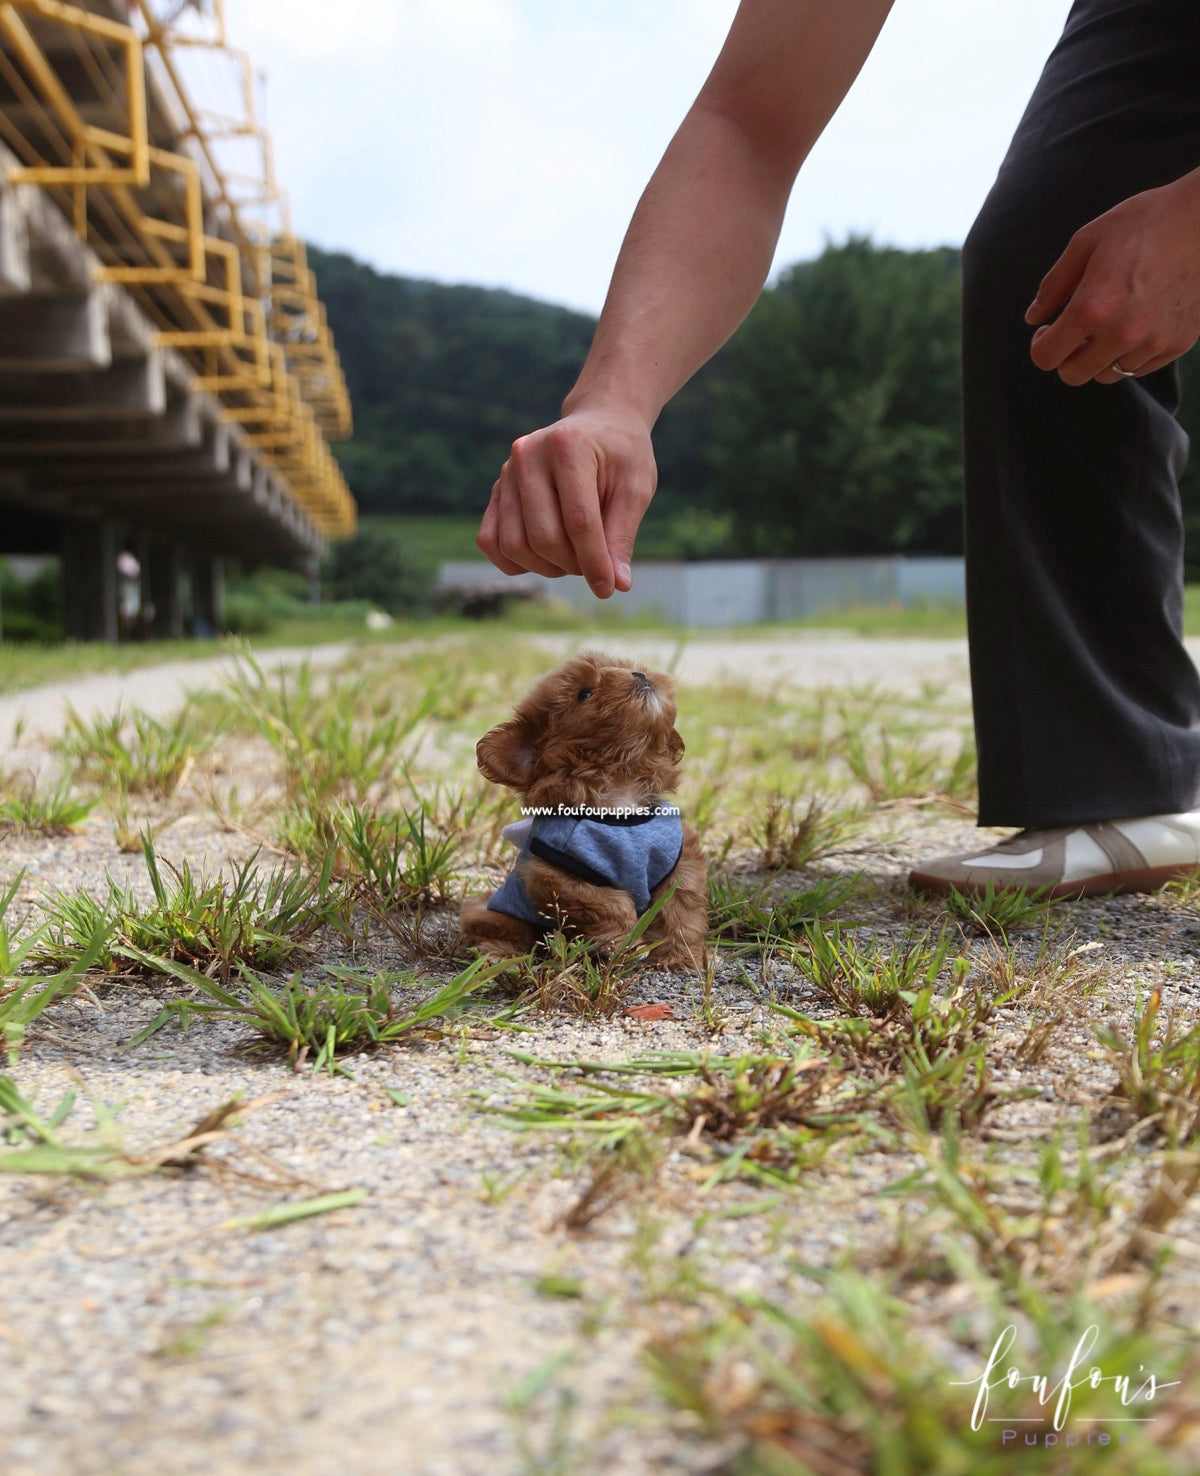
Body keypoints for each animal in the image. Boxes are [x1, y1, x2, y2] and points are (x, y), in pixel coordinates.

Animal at [457, 652, 702, 974]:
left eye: (628, 668)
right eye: (584, 693)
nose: (639, 674)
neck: (620, 795)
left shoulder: (680, 863)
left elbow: (680, 910)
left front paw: (681, 956)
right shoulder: (559, 872)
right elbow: (610, 904)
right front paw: (624, 945)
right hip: (495, 914)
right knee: (499, 932)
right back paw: (502, 960)